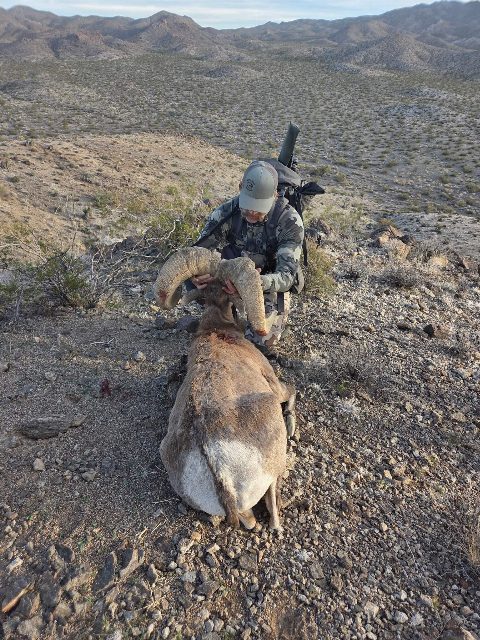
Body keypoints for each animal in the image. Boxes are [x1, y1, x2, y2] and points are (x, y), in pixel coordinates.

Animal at [154, 246, 296, 529]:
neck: (217, 331)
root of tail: (218, 466)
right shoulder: (277, 387)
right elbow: (294, 389)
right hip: (271, 428)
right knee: (272, 509)